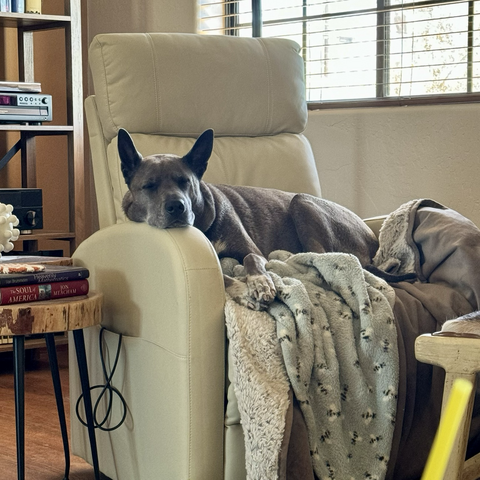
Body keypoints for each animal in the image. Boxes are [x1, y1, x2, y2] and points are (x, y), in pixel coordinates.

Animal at [119, 127, 404, 310]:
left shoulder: (251, 249)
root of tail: (372, 240)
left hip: (302, 201)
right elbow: (222, 276)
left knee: (319, 256)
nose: (177, 207)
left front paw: (259, 282)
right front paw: (243, 291)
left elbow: (251, 259)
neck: (202, 227)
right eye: (149, 186)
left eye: (185, 182)